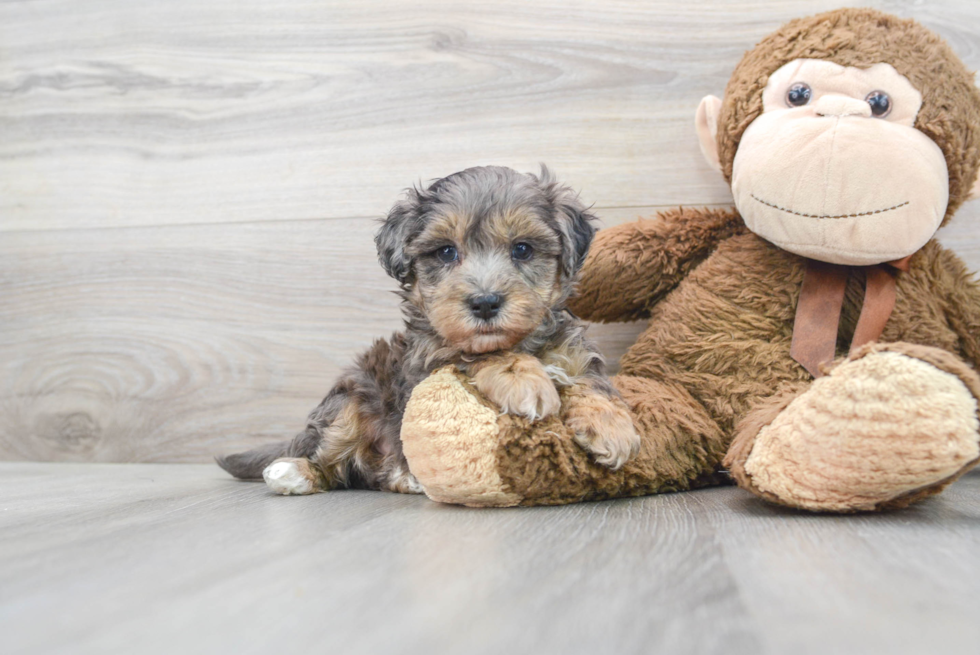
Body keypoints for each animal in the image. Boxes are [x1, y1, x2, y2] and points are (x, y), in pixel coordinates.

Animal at [217, 167, 640, 494]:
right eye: (446, 252)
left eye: (522, 249)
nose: (485, 303)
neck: (524, 341)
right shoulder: (431, 359)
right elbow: (482, 354)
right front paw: (523, 379)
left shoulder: (574, 355)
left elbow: (592, 385)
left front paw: (613, 428)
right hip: (350, 402)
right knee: (334, 462)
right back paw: (296, 472)